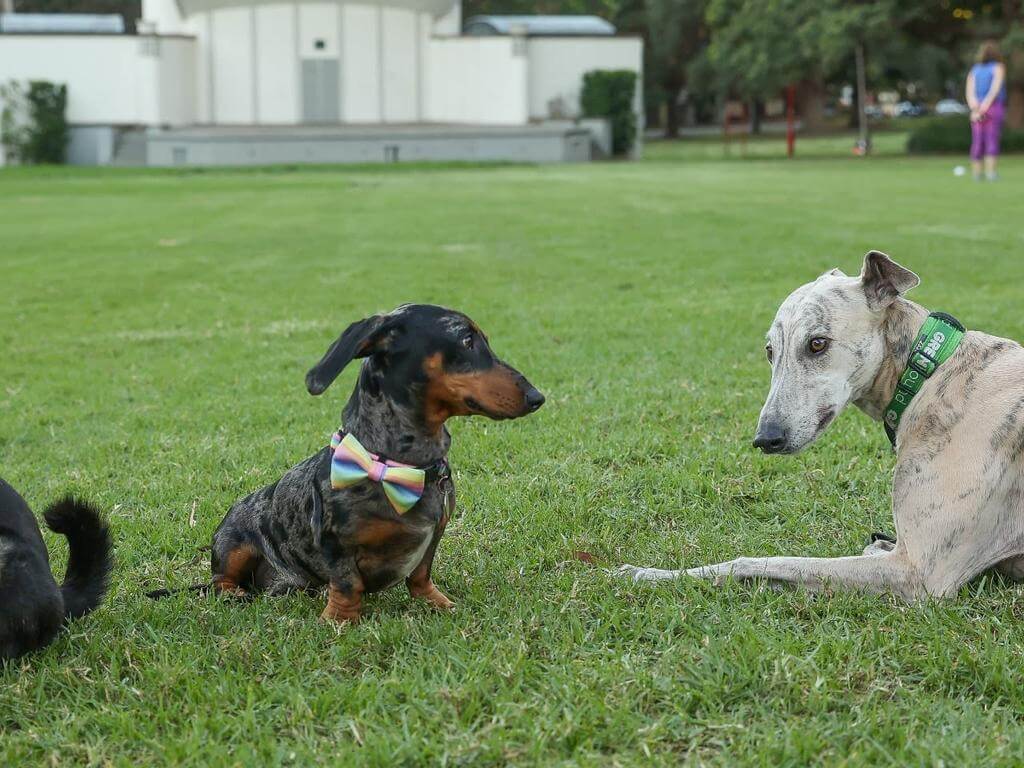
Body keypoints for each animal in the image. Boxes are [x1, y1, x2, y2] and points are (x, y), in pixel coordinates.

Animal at [204, 303, 548, 626]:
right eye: (466, 339)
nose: (538, 398)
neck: (400, 467)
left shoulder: (435, 533)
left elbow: (420, 575)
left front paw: (437, 603)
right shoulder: (334, 542)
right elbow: (347, 583)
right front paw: (340, 620)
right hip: (232, 545)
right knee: (220, 580)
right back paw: (236, 593)